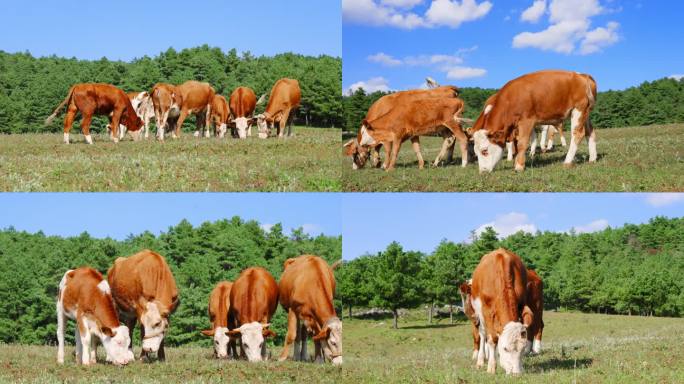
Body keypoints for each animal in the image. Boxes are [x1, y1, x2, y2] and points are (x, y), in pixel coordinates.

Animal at [470, 70, 600, 172]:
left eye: (484, 151)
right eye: (475, 152)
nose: (483, 171)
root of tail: (582, 75)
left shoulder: (526, 120)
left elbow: (522, 142)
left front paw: (519, 166)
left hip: (578, 110)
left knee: (578, 134)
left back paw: (567, 161)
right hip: (585, 112)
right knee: (590, 132)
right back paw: (592, 159)